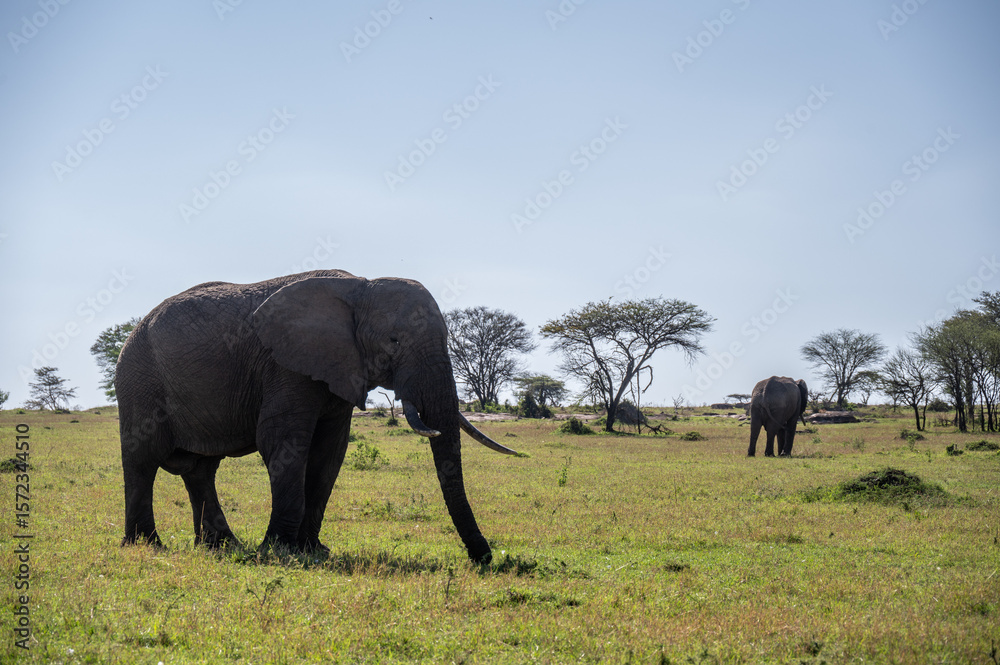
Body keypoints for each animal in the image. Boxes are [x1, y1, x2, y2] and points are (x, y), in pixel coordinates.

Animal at [116, 270, 518, 564]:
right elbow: (281, 442)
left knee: (201, 468)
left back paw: (223, 546)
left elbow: (330, 452)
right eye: (394, 341)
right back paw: (147, 546)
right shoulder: (285, 365)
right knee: (143, 460)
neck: (360, 288)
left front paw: (312, 551)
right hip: (139, 379)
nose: (485, 558)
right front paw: (279, 550)